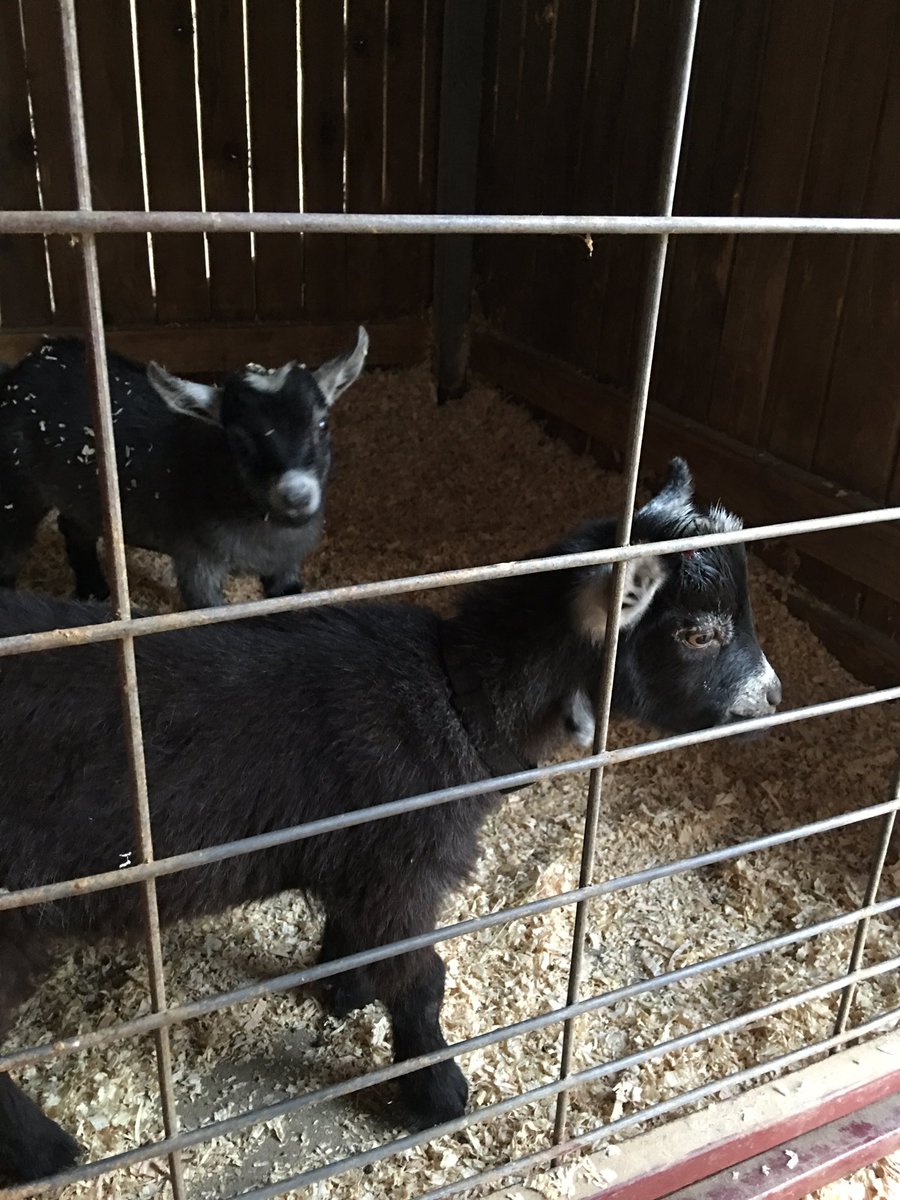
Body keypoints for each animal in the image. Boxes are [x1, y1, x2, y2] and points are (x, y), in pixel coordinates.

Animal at [0, 329, 369, 608]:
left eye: (322, 425)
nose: (296, 496)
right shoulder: (196, 559)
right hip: (18, 488)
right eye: (239, 441)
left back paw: (94, 590)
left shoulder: (285, 564)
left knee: (75, 527)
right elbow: (207, 608)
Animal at [0, 458, 781, 1183]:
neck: (457, 696)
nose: (773, 697)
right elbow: (420, 978)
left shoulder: (363, 865)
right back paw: (46, 1154)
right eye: (698, 633)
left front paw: (343, 995)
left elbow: (357, 948)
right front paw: (435, 1090)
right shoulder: (401, 867)